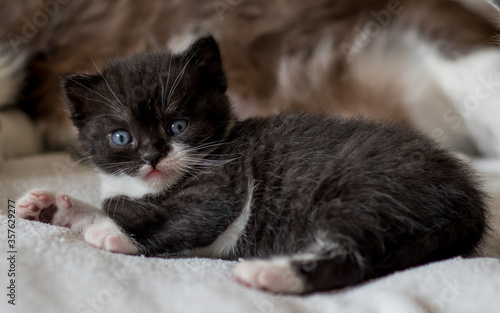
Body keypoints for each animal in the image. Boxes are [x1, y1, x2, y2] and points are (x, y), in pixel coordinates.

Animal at [15, 36, 488, 292]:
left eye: (178, 125)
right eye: (121, 137)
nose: (152, 156)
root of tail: (467, 195)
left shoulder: (222, 184)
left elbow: (180, 220)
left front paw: (112, 233)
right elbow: (117, 204)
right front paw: (56, 206)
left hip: (363, 189)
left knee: (357, 258)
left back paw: (268, 273)